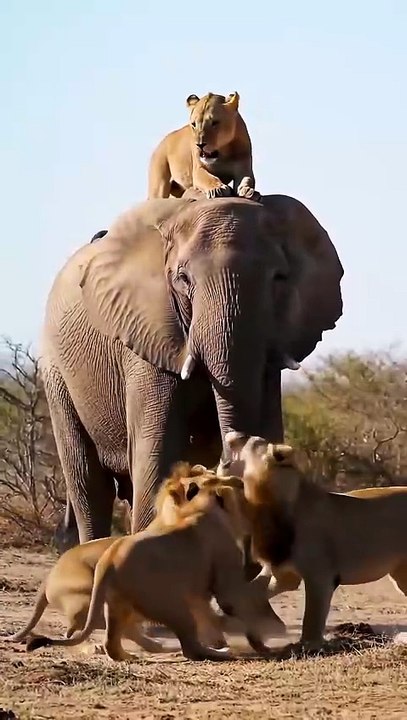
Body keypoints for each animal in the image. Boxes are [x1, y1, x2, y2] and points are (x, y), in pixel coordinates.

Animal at [17, 463, 283, 662]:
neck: (198, 510)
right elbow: (237, 608)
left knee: (112, 641)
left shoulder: (199, 593)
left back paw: (132, 654)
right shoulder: (224, 582)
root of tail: (108, 562)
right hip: (170, 605)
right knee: (190, 648)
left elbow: (212, 618)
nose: (237, 478)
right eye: (215, 476)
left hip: (116, 606)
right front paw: (260, 644)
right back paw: (221, 653)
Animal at [41, 193, 343, 552]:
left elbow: (270, 430)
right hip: (56, 371)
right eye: (183, 279)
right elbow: (157, 453)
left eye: (279, 278)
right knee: (88, 483)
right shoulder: (147, 337)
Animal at [221, 431, 407, 652]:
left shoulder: (320, 576)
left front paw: (307, 646)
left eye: (252, 440)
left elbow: (311, 618)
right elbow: (248, 592)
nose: (236, 433)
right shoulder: (282, 573)